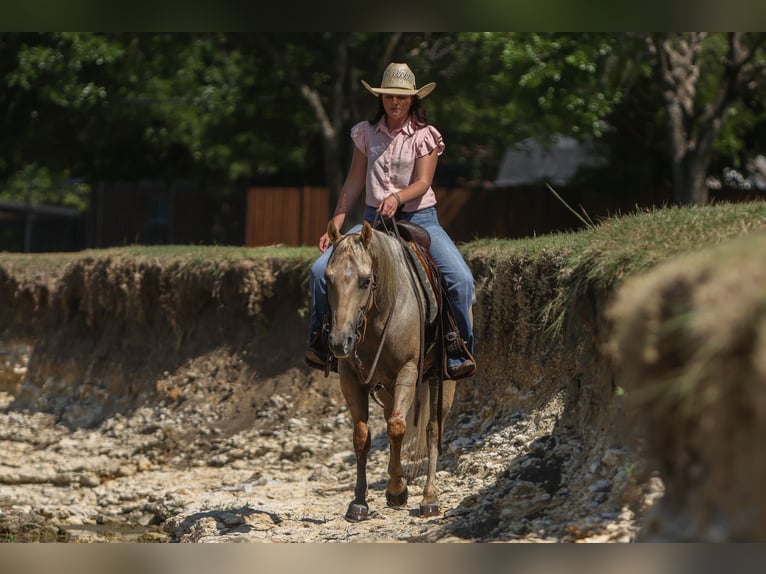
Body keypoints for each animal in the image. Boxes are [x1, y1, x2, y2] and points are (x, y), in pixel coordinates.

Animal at [325, 218, 457, 521]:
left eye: (365, 281)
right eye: (327, 279)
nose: (339, 341)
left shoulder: (408, 371)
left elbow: (397, 427)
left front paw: (398, 489)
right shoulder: (351, 378)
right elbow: (362, 436)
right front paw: (359, 501)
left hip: (443, 381)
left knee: (433, 430)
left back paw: (429, 498)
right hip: (385, 389)